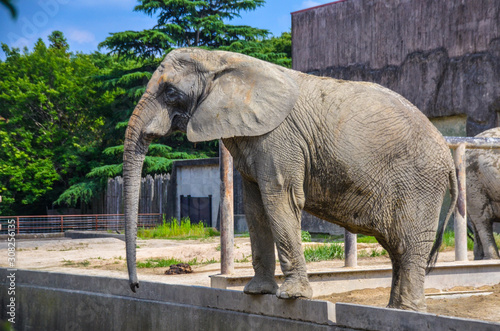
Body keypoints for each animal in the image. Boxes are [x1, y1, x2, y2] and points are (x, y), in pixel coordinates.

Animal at [124, 48, 458, 312]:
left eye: (170, 92)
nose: (136, 287)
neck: (220, 58)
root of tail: (446, 151)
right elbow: (256, 208)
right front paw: (256, 293)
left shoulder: (279, 140)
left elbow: (280, 199)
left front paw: (292, 297)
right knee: (397, 248)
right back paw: (395, 310)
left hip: (420, 181)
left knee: (408, 245)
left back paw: (407, 312)